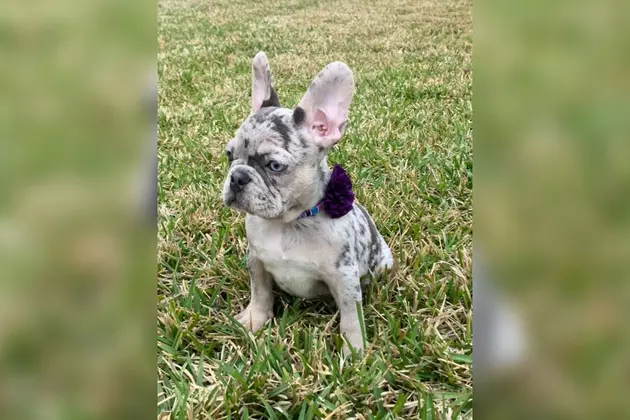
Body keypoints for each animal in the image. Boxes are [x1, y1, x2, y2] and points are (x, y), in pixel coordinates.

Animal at [222, 51, 392, 354]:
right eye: (229, 155)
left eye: (275, 165)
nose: (237, 177)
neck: (287, 224)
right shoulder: (256, 261)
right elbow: (260, 292)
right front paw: (255, 319)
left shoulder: (344, 278)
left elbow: (351, 317)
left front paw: (355, 351)